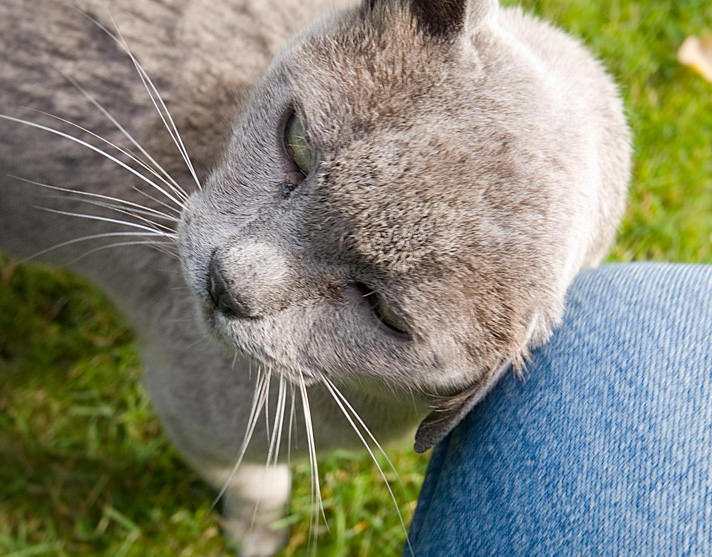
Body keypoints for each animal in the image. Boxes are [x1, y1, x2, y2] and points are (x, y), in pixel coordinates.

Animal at [1, 0, 628, 552]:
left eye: (382, 309)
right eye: (297, 142)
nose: (226, 284)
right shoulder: (192, 415)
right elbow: (259, 485)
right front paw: (258, 541)